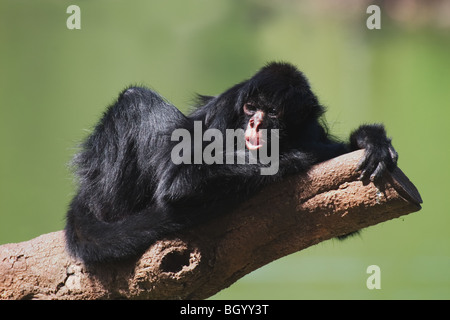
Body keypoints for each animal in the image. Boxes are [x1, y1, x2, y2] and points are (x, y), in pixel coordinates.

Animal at [64, 62, 398, 262]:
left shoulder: (310, 128)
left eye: (272, 112)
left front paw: (369, 140)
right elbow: (180, 183)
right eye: (251, 107)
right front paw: (297, 157)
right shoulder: (225, 110)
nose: (255, 123)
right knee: (136, 99)